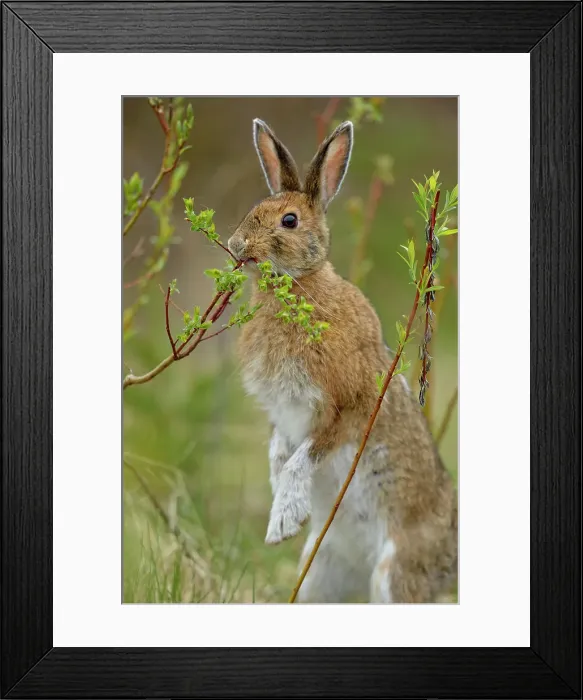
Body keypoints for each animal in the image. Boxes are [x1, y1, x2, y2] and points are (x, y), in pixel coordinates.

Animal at [227, 118, 458, 603]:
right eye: (255, 208)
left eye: (289, 220)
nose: (237, 246)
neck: (298, 288)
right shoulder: (281, 413)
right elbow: (279, 451)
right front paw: (282, 504)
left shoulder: (349, 407)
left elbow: (303, 456)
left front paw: (283, 521)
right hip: (321, 571)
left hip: (394, 574)